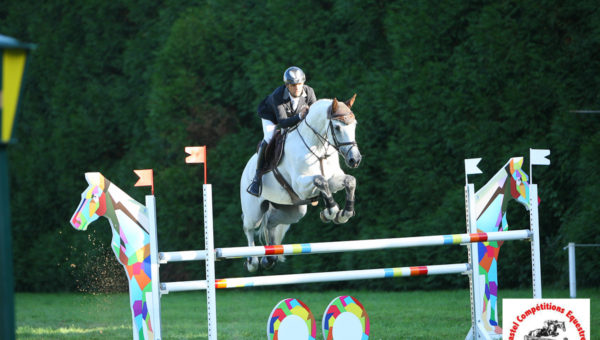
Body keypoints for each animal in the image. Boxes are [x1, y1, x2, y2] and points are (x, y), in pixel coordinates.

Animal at [241, 95, 364, 270]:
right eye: (337, 127)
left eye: (354, 125)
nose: (355, 159)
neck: (318, 148)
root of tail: (246, 168)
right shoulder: (300, 186)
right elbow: (320, 181)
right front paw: (332, 211)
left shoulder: (333, 178)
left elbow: (349, 181)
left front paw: (343, 214)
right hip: (254, 211)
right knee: (249, 227)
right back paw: (252, 261)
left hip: (294, 210)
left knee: (271, 223)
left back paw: (270, 257)